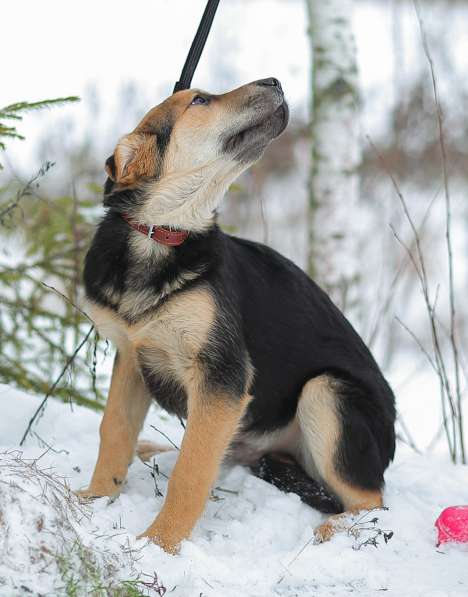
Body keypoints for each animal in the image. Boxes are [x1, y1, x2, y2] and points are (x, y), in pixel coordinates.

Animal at [79, 78, 394, 556]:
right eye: (200, 100)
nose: (275, 81)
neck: (161, 236)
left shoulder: (222, 376)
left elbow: (191, 472)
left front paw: (160, 543)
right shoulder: (133, 357)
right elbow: (113, 431)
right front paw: (93, 501)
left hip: (326, 392)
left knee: (370, 500)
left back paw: (332, 532)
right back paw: (152, 450)